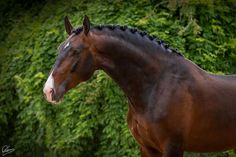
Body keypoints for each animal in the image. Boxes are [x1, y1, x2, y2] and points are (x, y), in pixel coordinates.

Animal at [43, 16, 236, 156]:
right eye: (60, 48)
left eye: (75, 51)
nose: (48, 91)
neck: (157, 86)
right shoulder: (147, 148)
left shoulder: (172, 147)